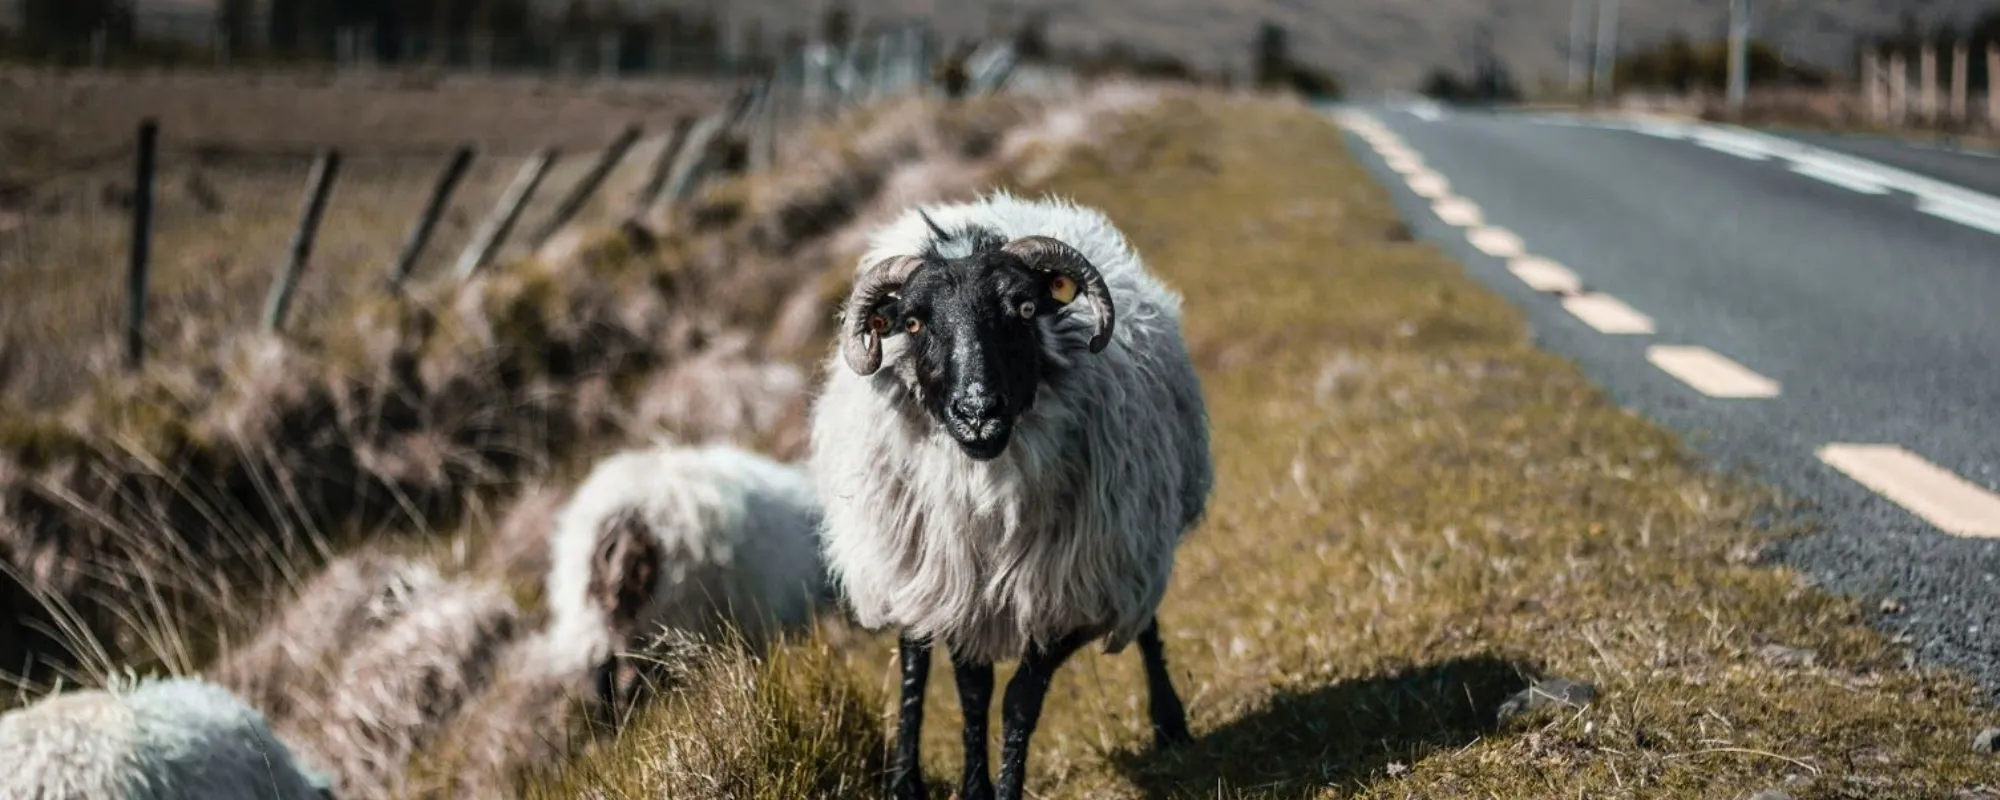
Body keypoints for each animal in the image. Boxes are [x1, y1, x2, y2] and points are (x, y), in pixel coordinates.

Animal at [808, 191, 1212, 800]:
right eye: (913, 322)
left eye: (1023, 310)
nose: (978, 413)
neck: (989, 492)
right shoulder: (958, 588)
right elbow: (971, 691)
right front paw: (973, 786)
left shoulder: (1075, 586)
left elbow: (1020, 699)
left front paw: (1000, 786)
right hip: (909, 561)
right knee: (913, 657)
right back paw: (905, 780)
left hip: (1132, 541)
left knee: (1144, 622)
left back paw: (1169, 723)